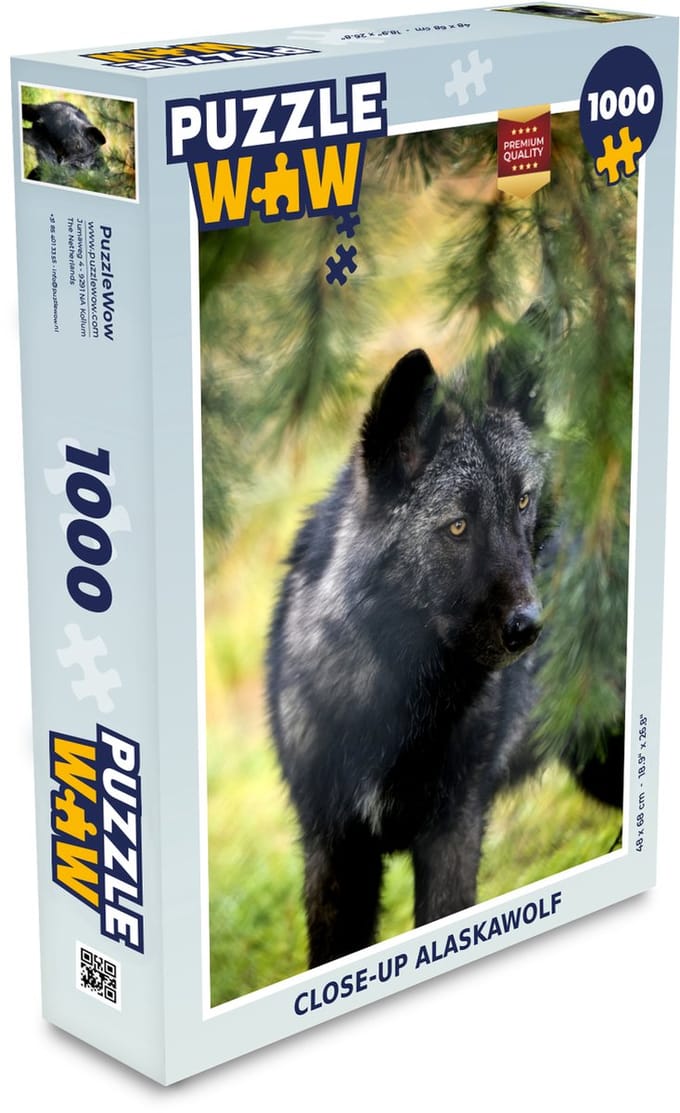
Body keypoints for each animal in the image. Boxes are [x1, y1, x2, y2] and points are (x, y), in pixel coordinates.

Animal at [267, 347, 549, 968]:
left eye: (521, 500)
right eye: (458, 526)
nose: (530, 627)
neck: (396, 706)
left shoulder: (453, 832)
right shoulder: (334, 851)